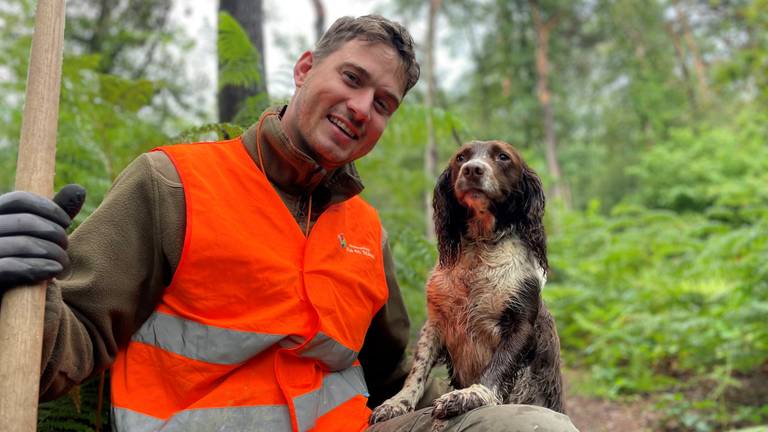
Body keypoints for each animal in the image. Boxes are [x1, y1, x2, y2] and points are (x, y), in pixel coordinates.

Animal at [370, 141, 564, 426]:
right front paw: (397, 403)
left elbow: (498, 366)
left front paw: (469, 396)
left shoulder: (520, 326)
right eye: (461, 158)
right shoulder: (435, 323)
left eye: (503, 156)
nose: (472, 169)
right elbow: (417, 369)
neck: (480, 247)